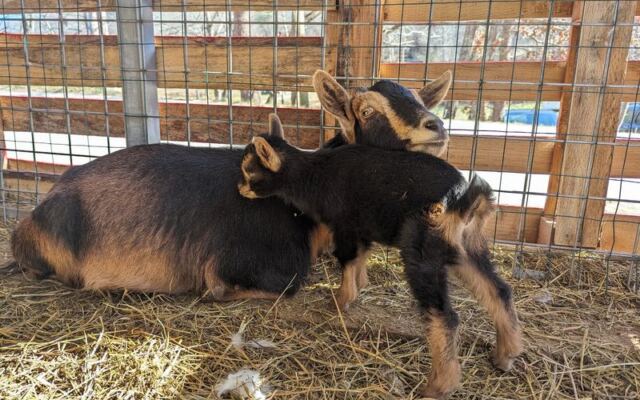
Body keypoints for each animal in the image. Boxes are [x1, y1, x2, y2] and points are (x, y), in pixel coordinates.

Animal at [239, 115, 522, 398]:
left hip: (423, 250)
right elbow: (360, 257)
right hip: (469, 246)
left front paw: (341, 300)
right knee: (498, 290)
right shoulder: (361, 229)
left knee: (446, 316)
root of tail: (464, 199)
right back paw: (505, 355)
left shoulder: (344, 226)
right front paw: (359, 285)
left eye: (248, 170)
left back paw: (439, 385)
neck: (312, 174)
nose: (240, 188)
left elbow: (347, 259)